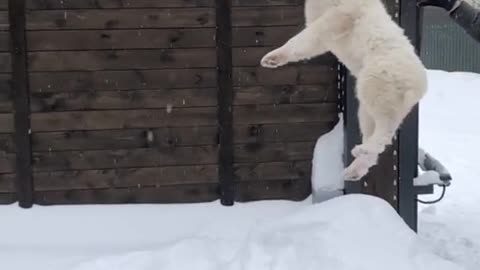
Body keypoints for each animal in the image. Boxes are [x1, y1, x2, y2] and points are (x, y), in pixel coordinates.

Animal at [262, 0, 428, 181]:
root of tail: (418, 85)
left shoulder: (343, 13)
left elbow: (313, 32)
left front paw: (272, 57)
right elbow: (311, 42)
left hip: (377, 79)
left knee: (384, 128)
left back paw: (363, 150)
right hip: (375, 103)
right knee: (377, 127)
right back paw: (355, 168)